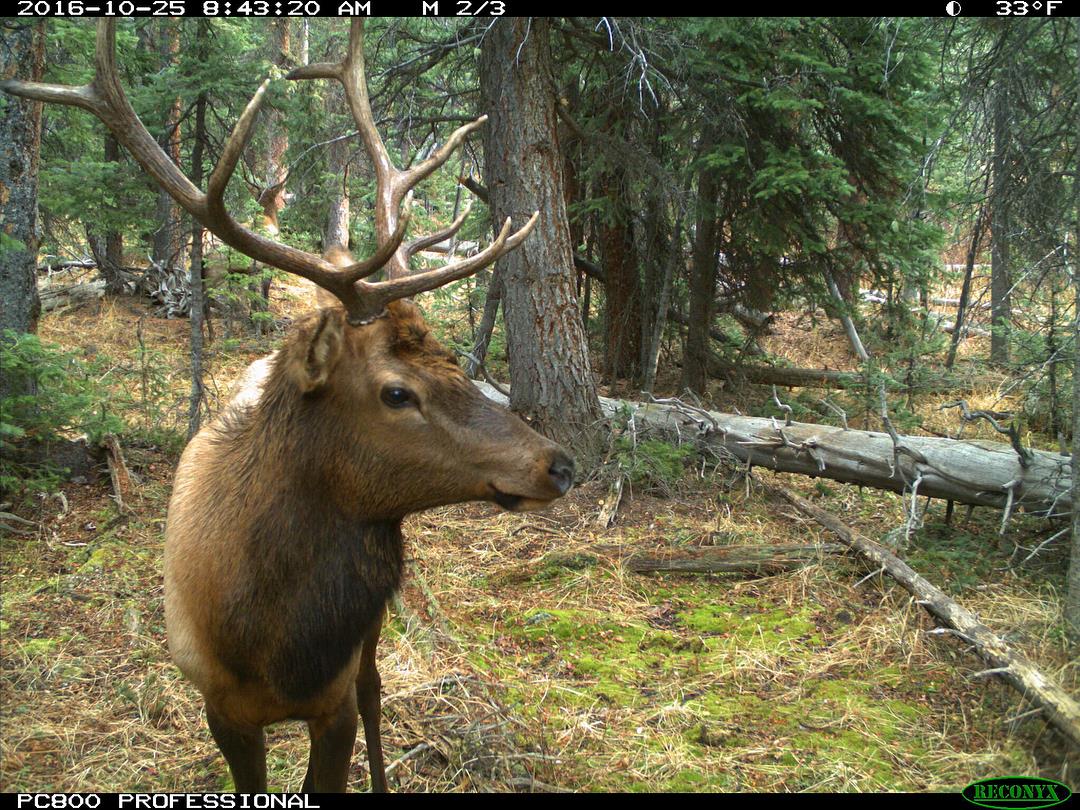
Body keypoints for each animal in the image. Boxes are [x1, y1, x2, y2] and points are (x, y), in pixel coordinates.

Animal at [2, 20, 575, 793]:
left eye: (457, 360)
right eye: (398, 392)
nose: (558, 463)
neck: (270, 645)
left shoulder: (331, 702)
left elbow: (350, 721)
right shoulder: (220, 706)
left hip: (372, 626)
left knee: (376, 688)